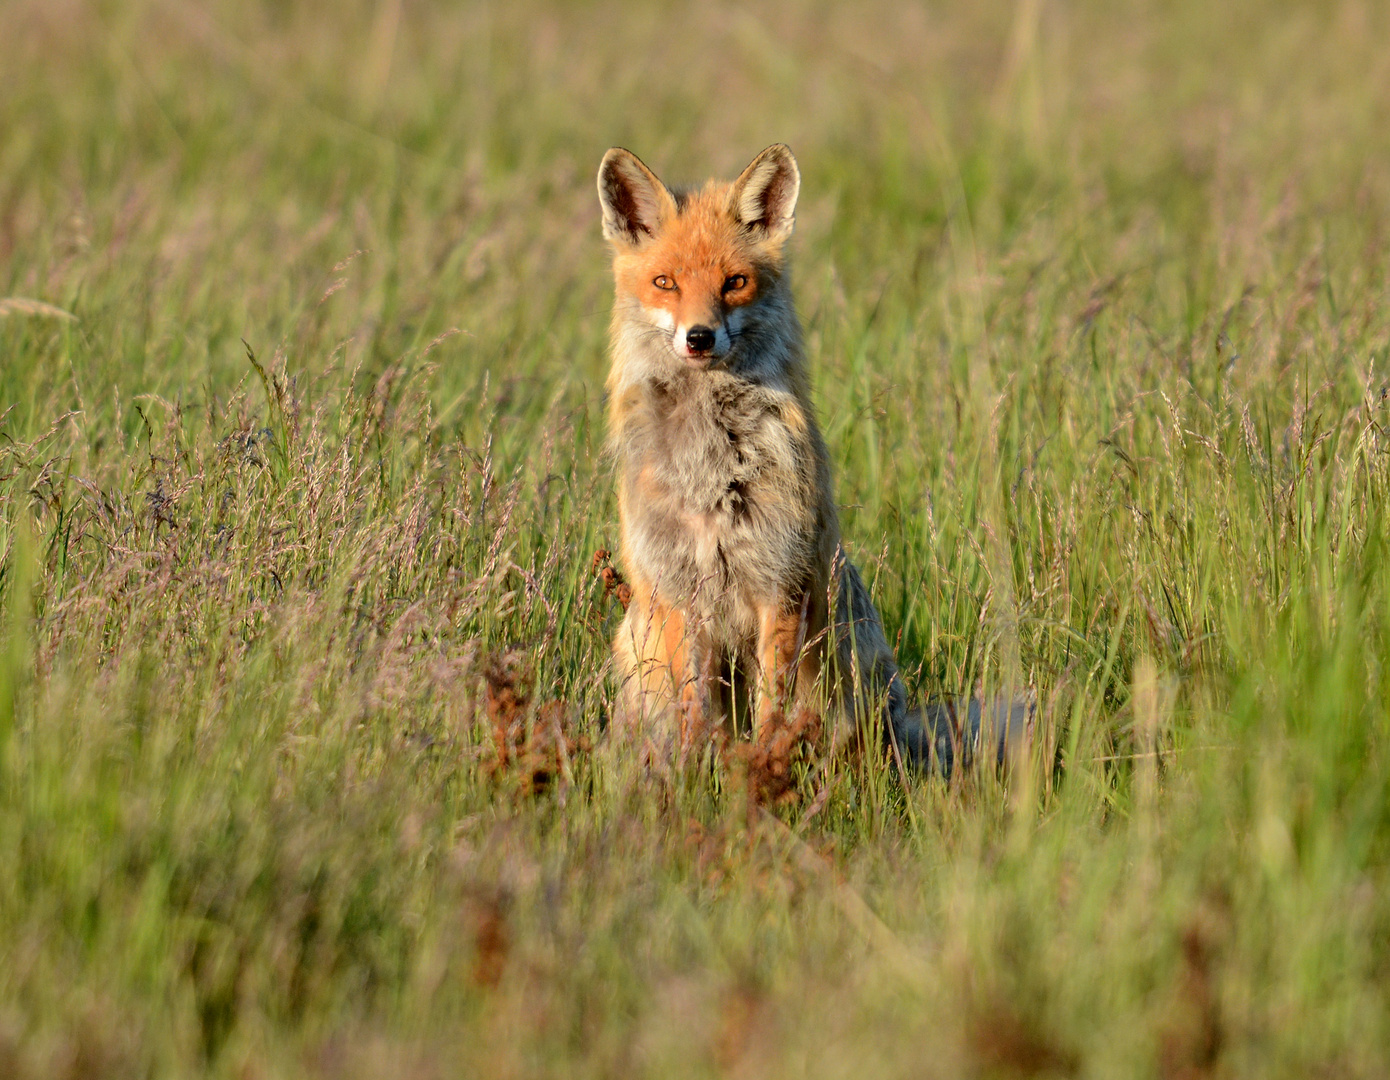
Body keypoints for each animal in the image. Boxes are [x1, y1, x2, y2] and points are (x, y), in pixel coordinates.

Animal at [594, 143, 1023, 772]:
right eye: (665, 282)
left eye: (735, 282)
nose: (699, 337)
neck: (711, 472)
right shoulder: (676, 590)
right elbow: (695, 712)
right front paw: (698, 776)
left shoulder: (782, 580)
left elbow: (773, 707)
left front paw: (763, 769)